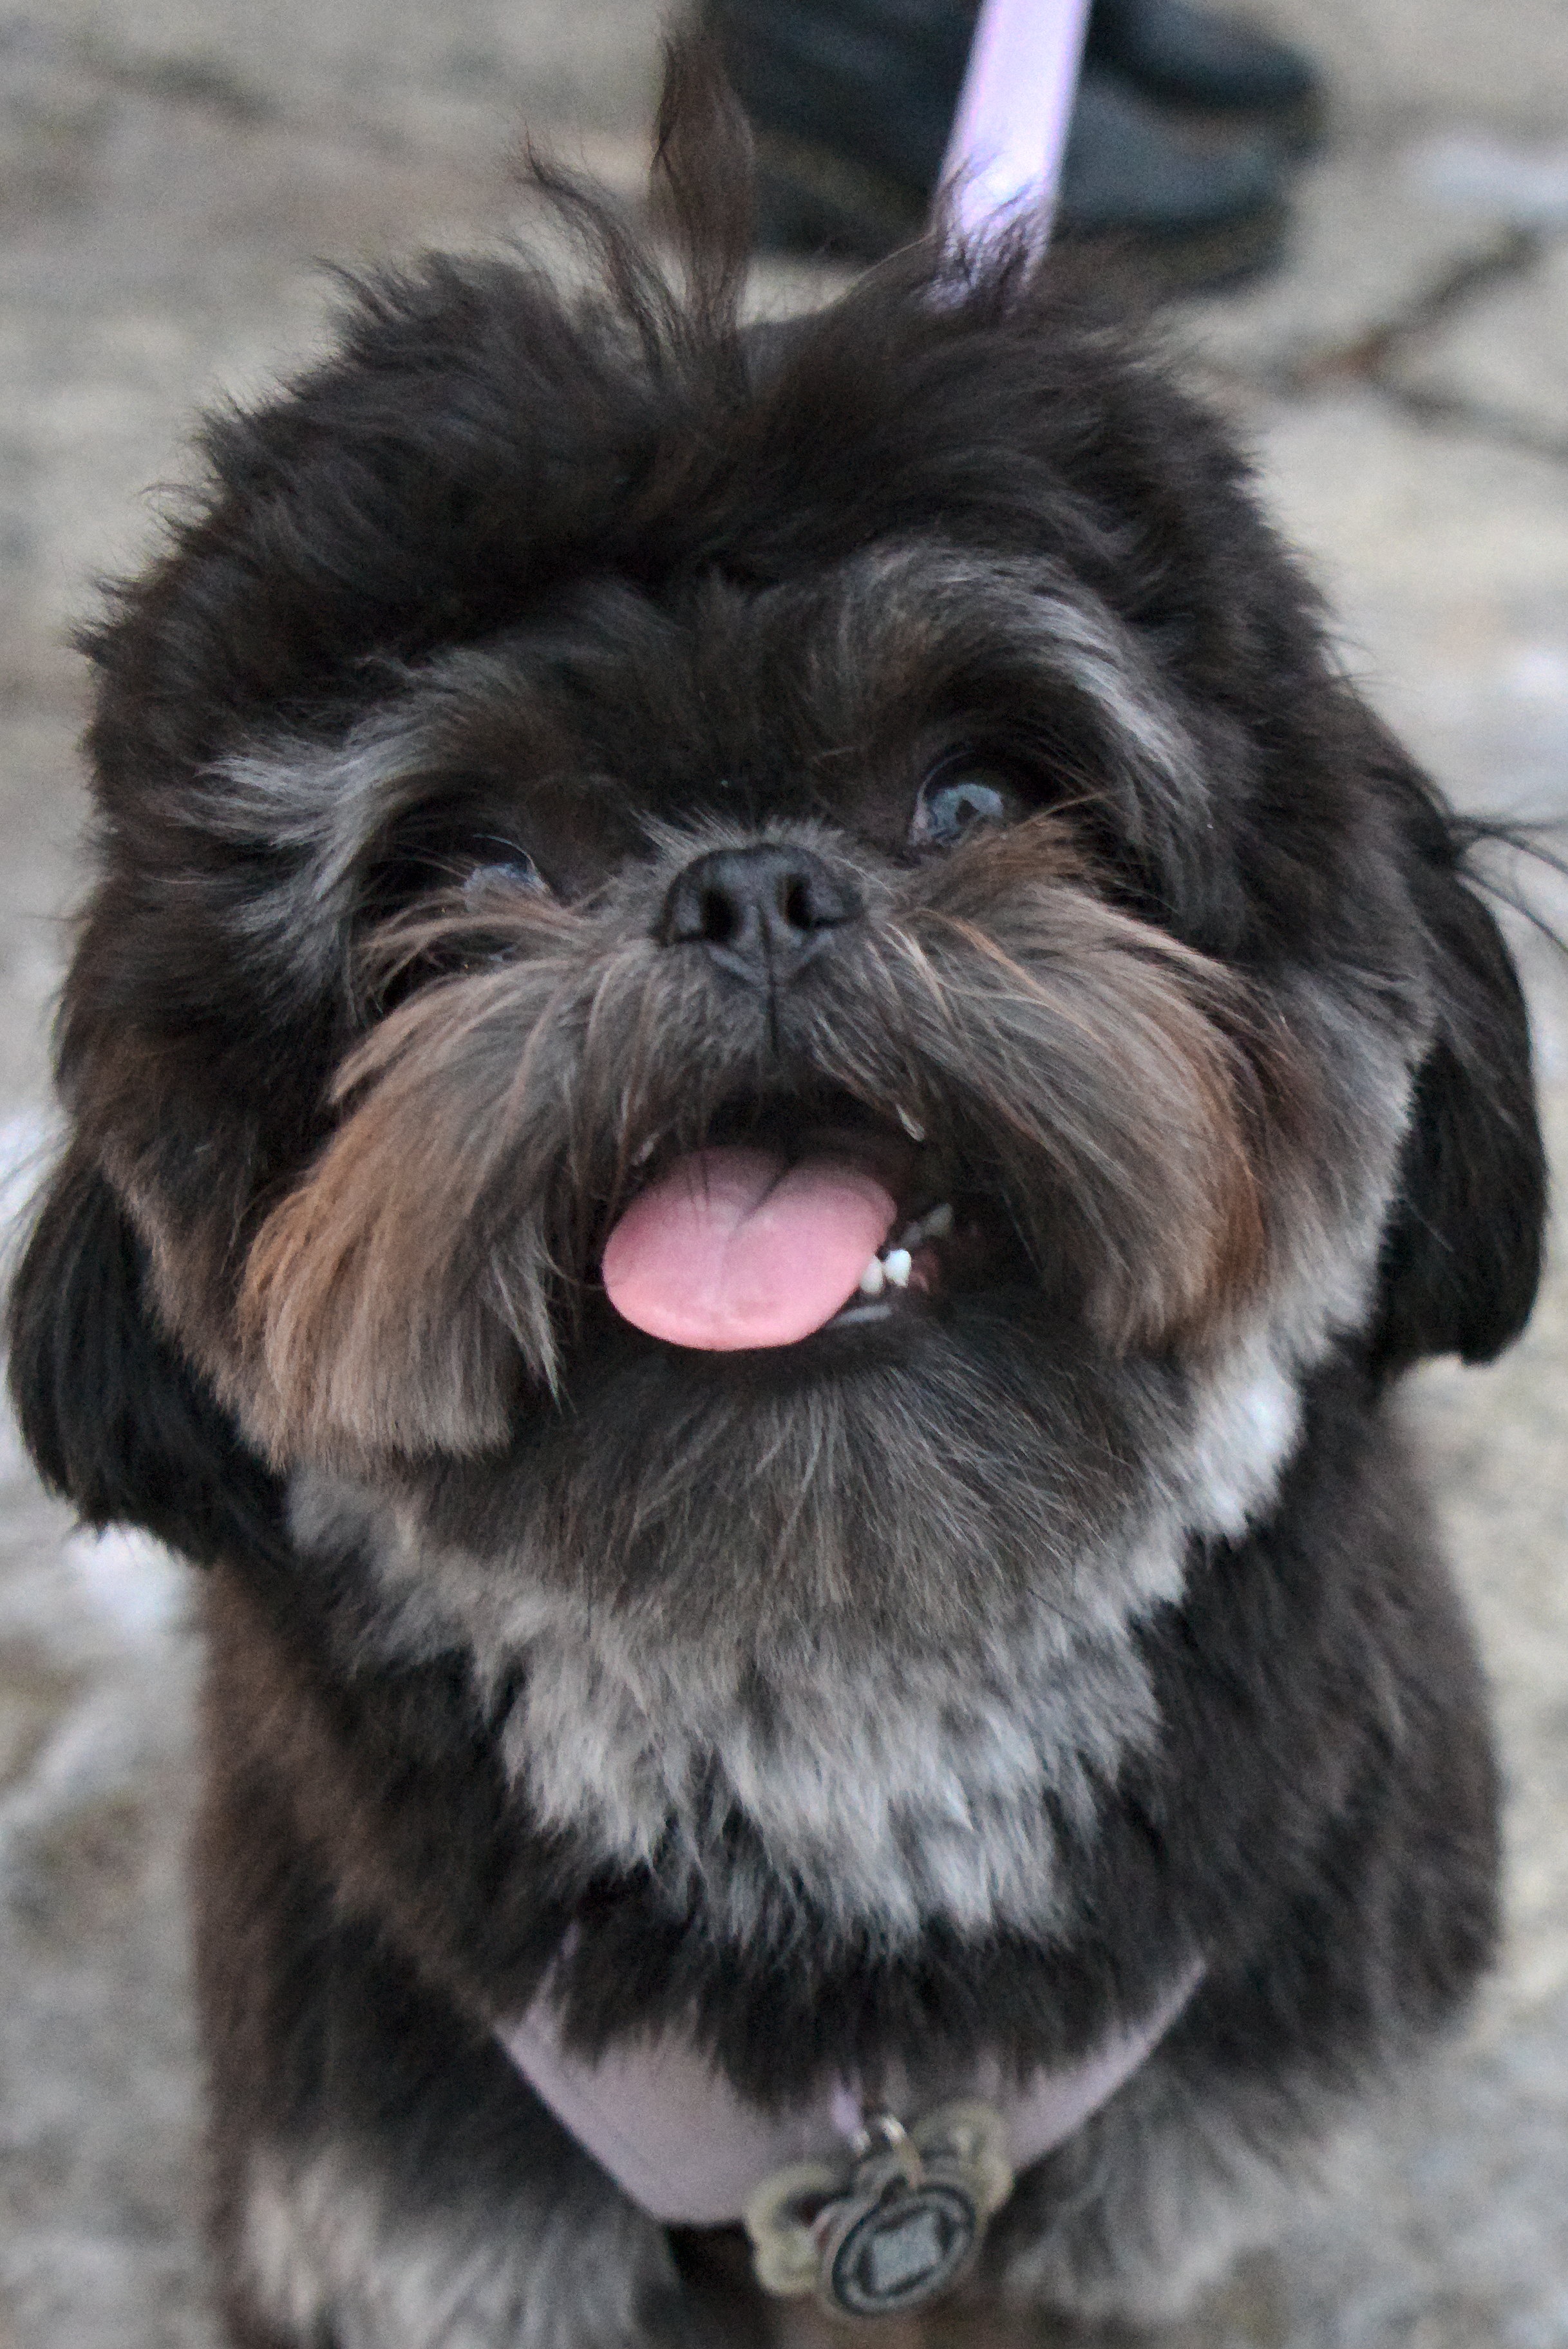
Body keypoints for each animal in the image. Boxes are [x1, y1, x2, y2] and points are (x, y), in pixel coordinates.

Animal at [6, 37, 1551, 2349]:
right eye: (469, 864)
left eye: (980, 793)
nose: (745, 884)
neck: (834, 1712)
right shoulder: (417, 2199)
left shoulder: (1190, 2180)